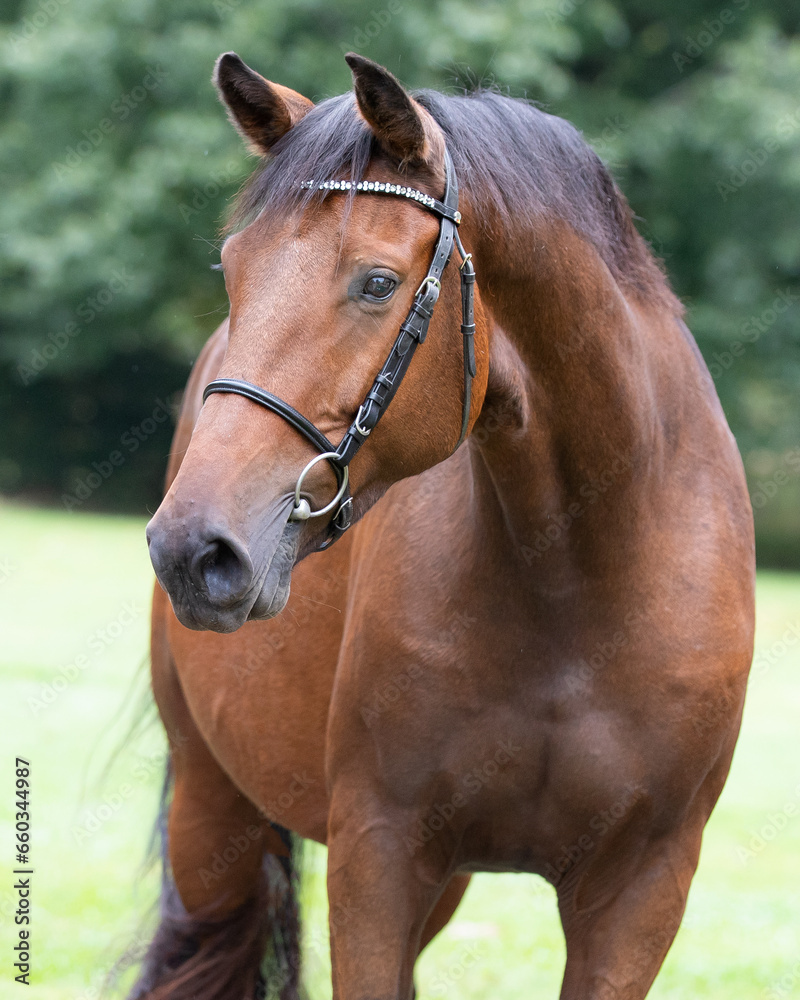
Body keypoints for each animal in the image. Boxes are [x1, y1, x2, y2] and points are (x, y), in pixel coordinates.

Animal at [135, 50, 755, 1000]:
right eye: (232, 272)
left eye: (378, 281)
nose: (192, 549)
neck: (575, 575)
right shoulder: (378, 854)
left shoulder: (640, 891)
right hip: (212, 817)